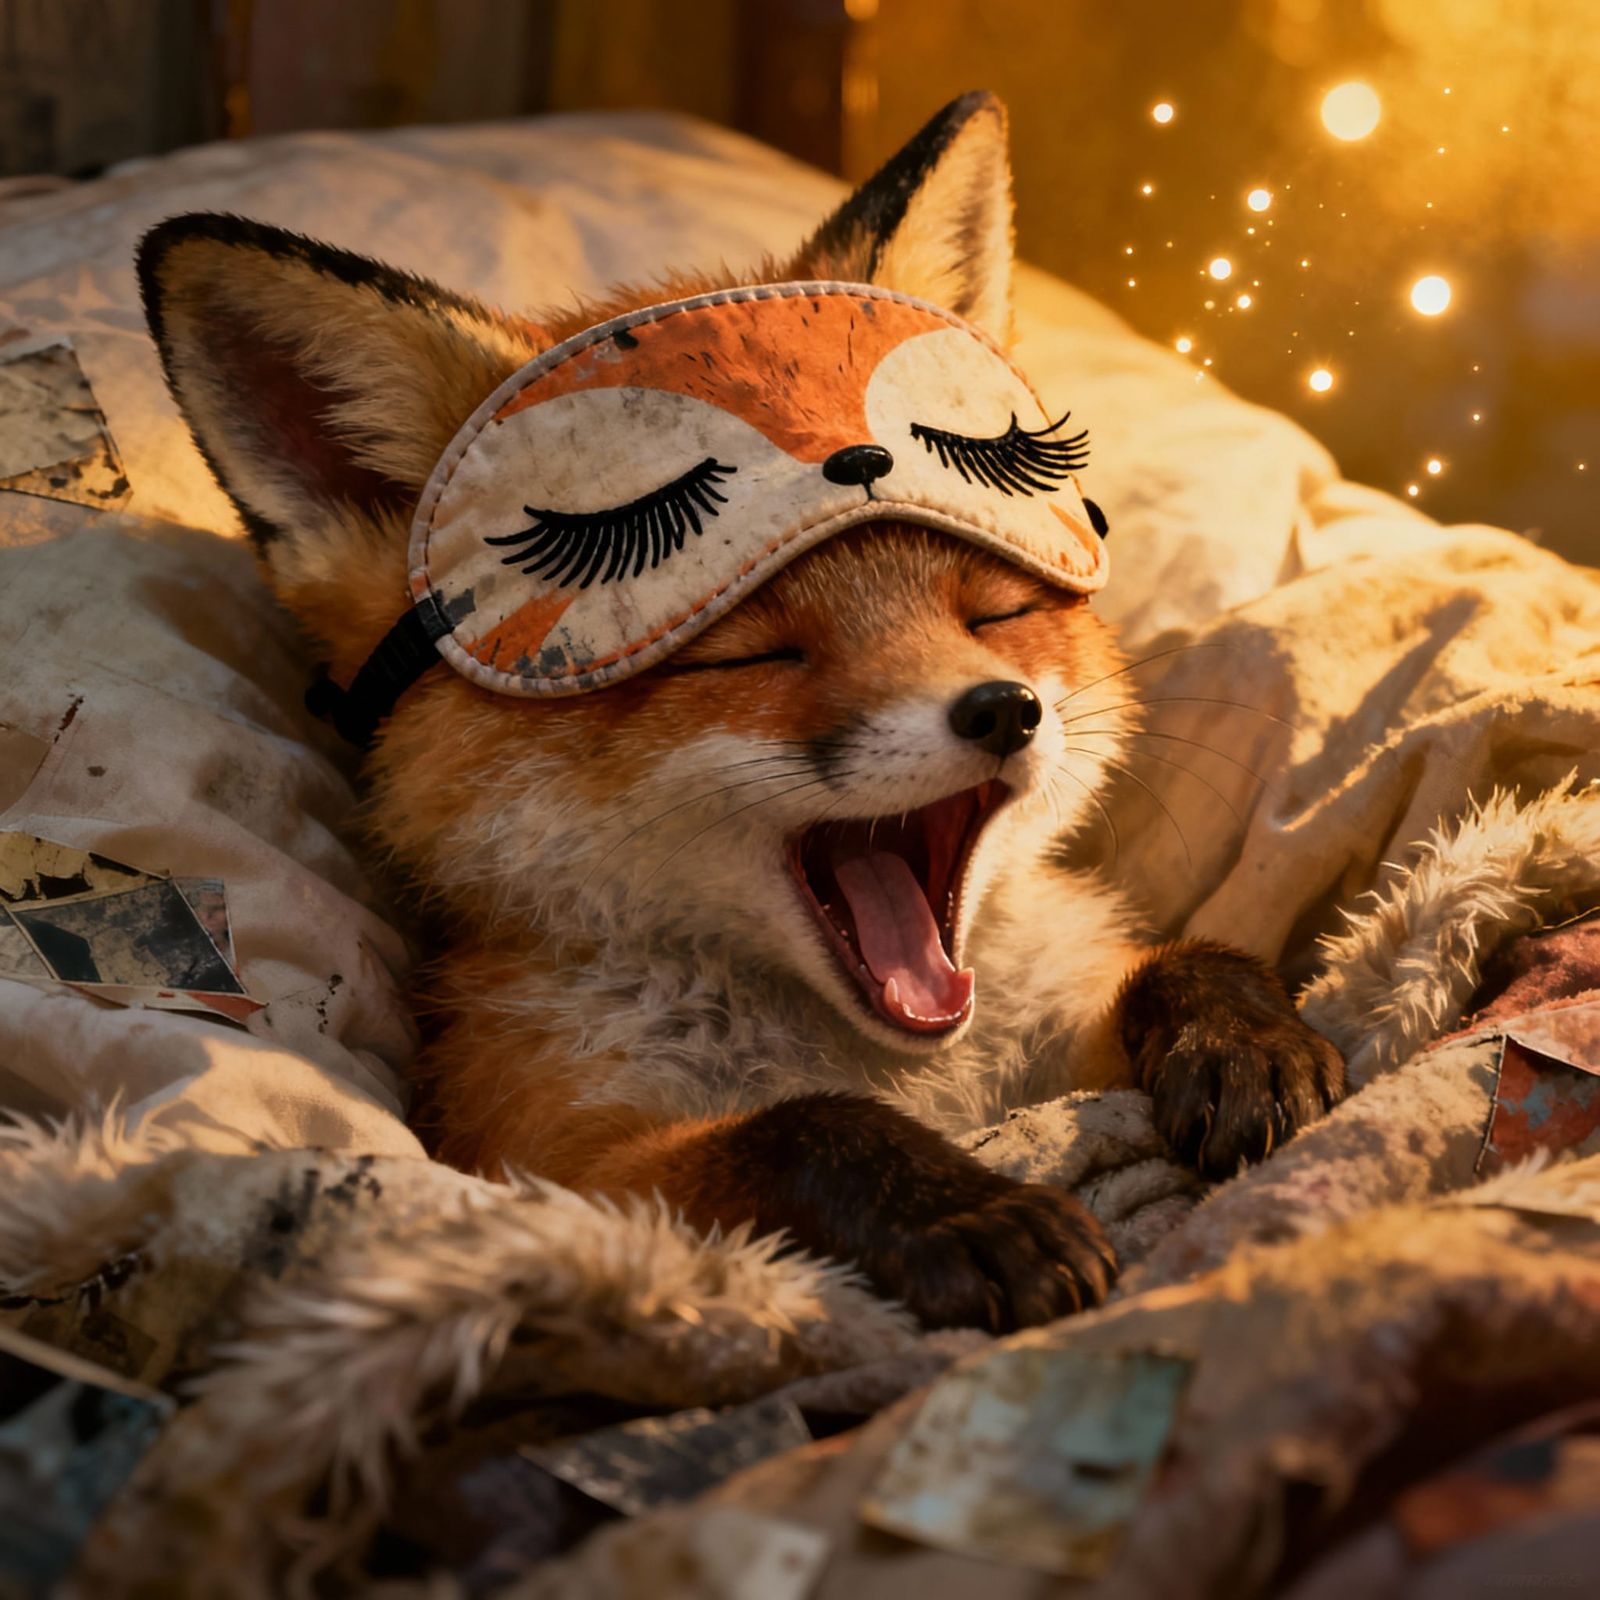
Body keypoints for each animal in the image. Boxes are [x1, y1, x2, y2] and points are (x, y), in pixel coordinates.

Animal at [137, 92, 1343, 1333]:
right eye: (755, 652)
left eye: (992, 611)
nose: (1003, 713)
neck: (917, 1068)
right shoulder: (554, 1165)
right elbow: (805, 1127)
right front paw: (967, 1211)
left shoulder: (1066, 1052)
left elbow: (1184, 961)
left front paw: (1245, 1040)